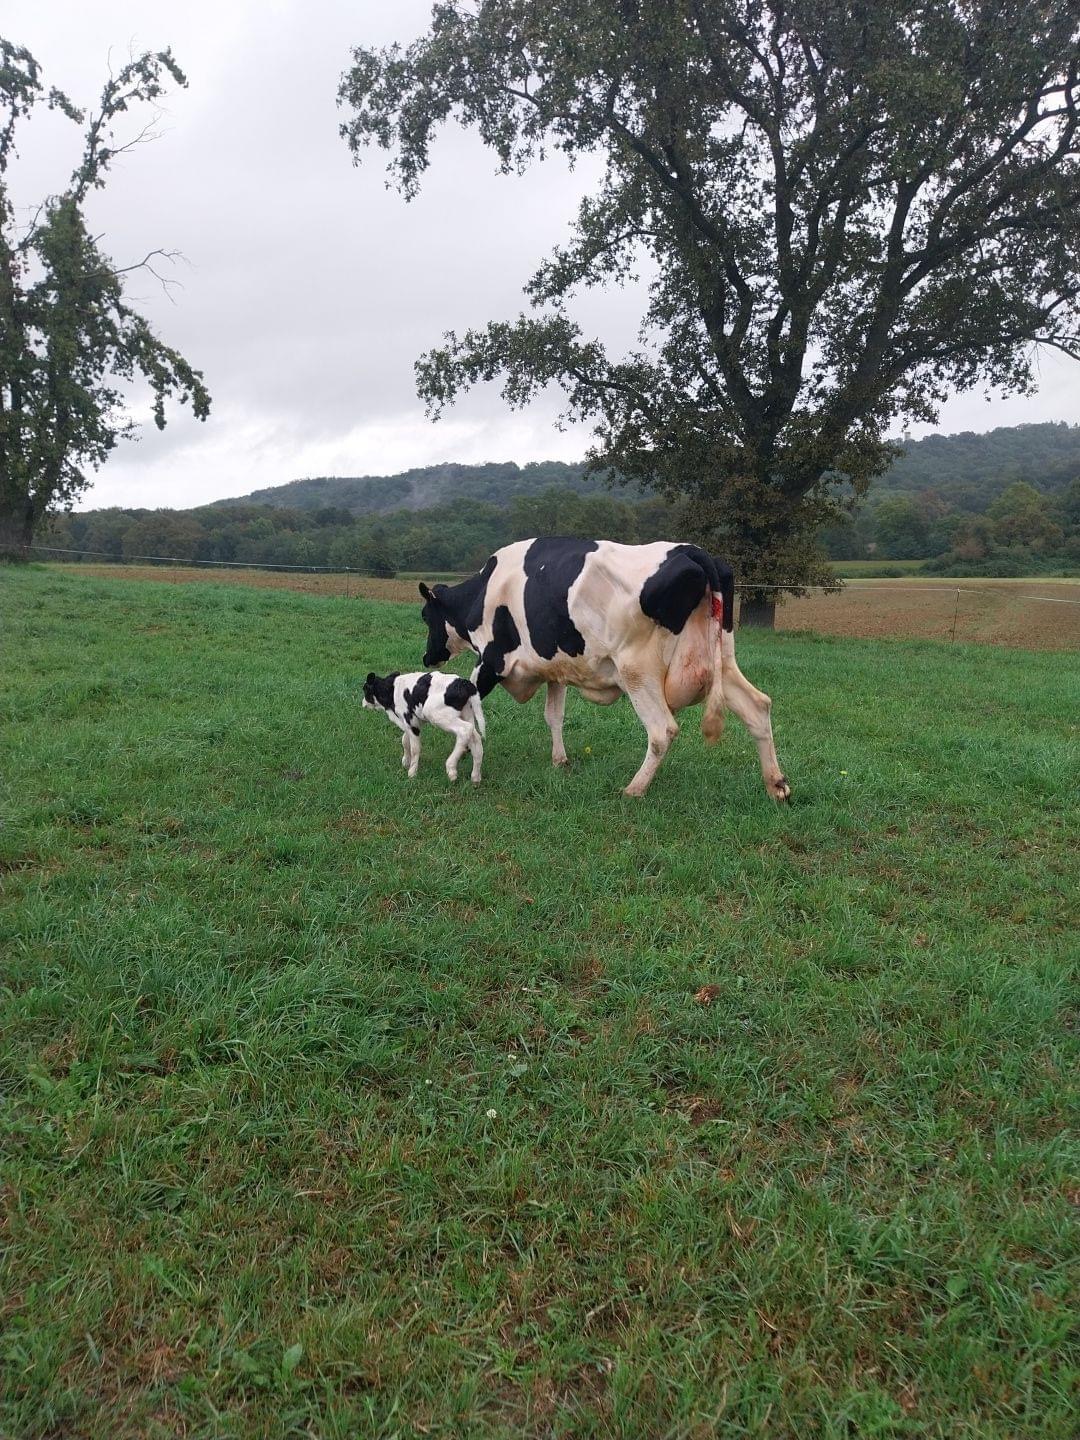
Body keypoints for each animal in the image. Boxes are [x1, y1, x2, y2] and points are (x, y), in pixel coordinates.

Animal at [418, 538, 789, 800]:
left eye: (425, 616)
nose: (427, 658)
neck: (485, 591)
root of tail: (696, 552)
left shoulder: (491, 660)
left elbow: (468, 709)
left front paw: (463, 757)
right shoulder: (556, 668)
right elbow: (554, 716)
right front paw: (560, 760)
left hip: (637, 670)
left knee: (662, 730)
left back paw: (634, 789)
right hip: (721, 663)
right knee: (758, 707)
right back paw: (777, 785)